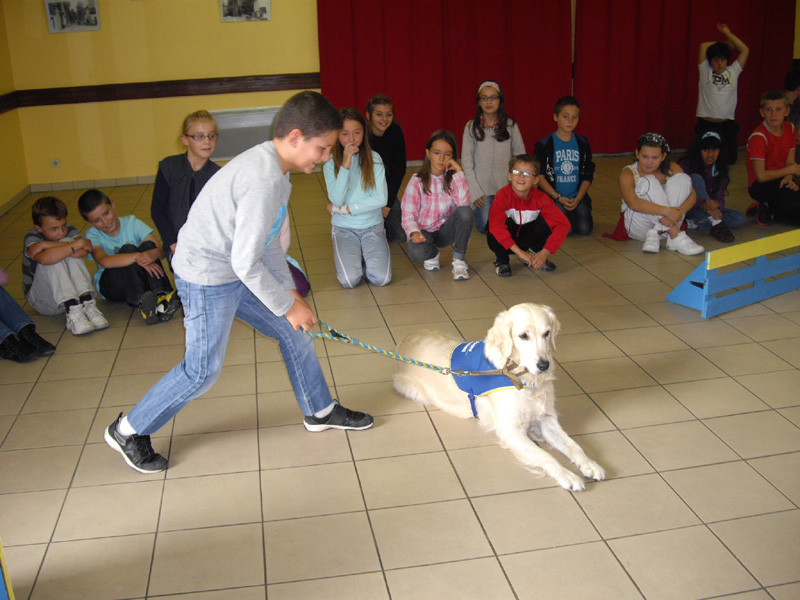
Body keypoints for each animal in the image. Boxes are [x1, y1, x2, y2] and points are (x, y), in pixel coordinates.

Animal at [394, 302, 608, 490]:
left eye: (546, 333)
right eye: (523, 336)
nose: (544, 365)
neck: (522, 377)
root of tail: (405, 339)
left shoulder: (547, 418)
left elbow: (574, 446)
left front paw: (590, 464)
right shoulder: (510, 431)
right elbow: (546, 457)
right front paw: (568, 476)